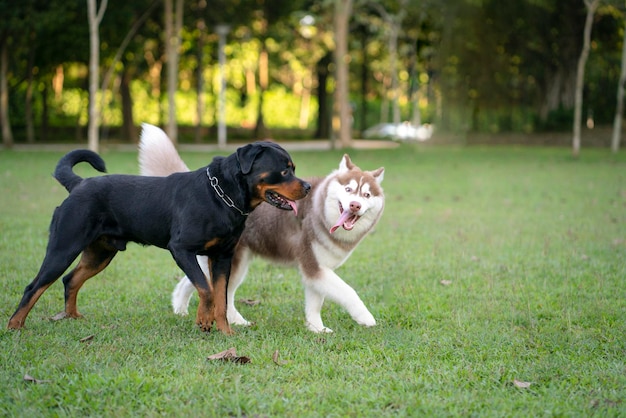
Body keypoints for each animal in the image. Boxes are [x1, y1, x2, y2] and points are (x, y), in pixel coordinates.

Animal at [7, 142, 310, 334]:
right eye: (284, 170)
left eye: (293, 168)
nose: (307, 186)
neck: (222, 195)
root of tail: (79, 184)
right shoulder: (182, 249)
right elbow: (206, 289)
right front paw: (203, 321)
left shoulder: (223, 256)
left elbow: (221, 298)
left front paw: (225, 333)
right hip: (63, 246)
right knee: (34, 286)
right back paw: (15, 326)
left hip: (100, 253)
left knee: (71, 279)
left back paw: (72, 317)